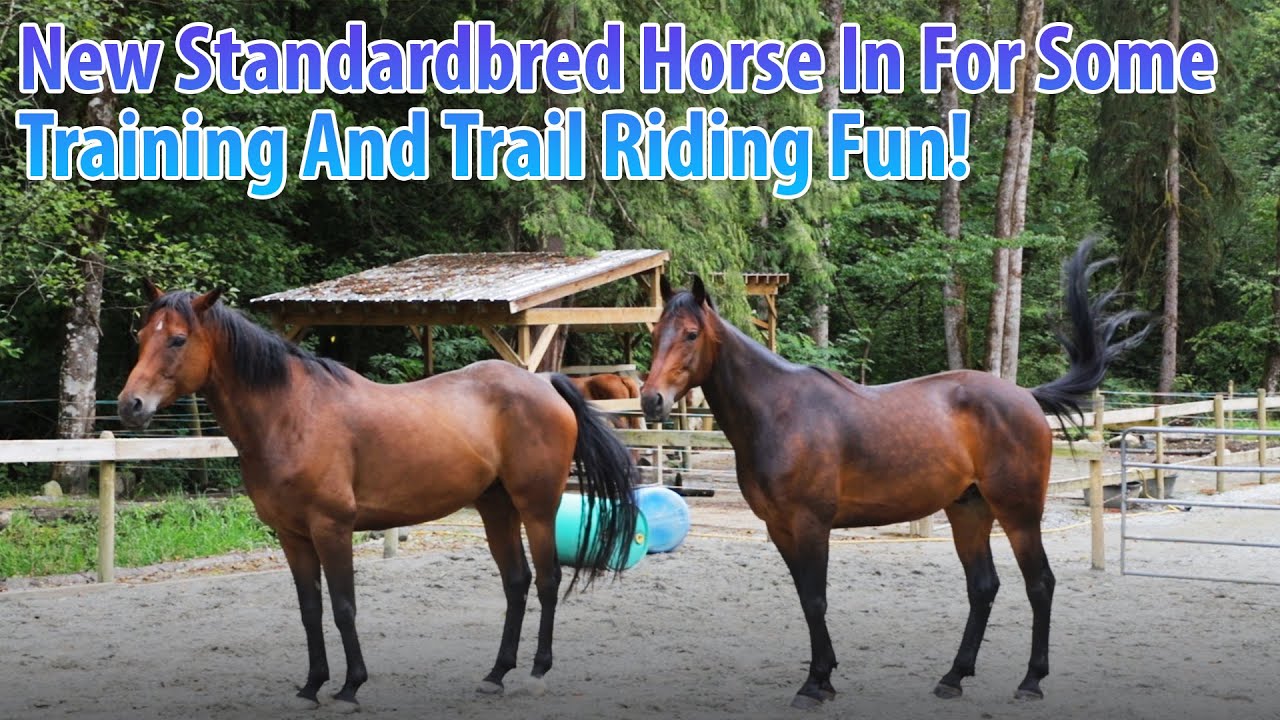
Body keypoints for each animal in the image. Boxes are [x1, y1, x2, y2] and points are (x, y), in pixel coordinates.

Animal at [117, 281, 639, 710]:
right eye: (141, 337)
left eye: (178, 339)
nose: (129, 405)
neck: (291, 414)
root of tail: (543, 382)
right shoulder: (291, 536)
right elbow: (310, 610)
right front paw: (312, 685)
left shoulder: (332, 529)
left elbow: (344, 607)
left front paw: (350, 687)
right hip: (496, 508)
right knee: (517, 581)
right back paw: (495, 674)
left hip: (537, 507)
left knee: (548, 580)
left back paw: (535, 673)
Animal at [639, 239, 1147, 709]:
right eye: (656, 331)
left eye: (690, 334)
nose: (651, 400)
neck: (780, 411)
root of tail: (1024, 396)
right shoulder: (780, 528)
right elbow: (805, 598)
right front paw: (824, 676)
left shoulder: (811, 524)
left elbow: (816, 599)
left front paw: (815, 683)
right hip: (969, 511)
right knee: (983, 587)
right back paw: (953, 677)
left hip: (1019, 513)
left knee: (1040, 584)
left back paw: (1030, 681)